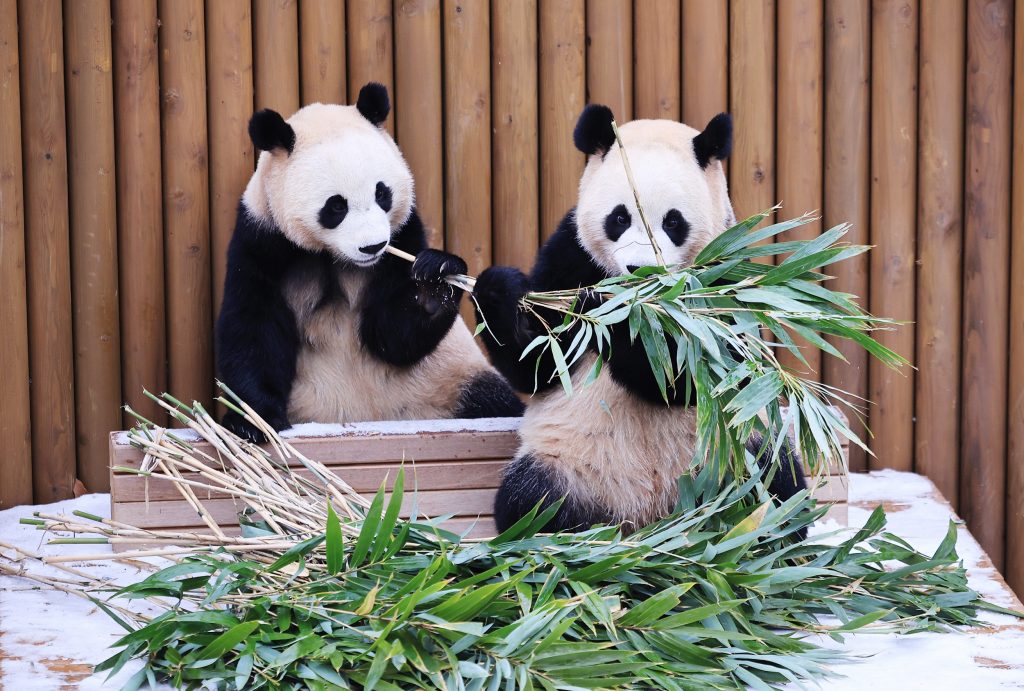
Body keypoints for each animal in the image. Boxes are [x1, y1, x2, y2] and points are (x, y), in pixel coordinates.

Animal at [216, 82, 523, 442]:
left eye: (382, 193)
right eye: (336, 206)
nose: (374, 246)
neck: (332, 258)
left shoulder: (404, 234)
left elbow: (392, 336)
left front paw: (434, 283)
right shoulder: (263, 240)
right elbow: (254, 327)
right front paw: (251, 422)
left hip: (449, 382)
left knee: (494, 400)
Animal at [472, 104, 806, 533]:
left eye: (673, 222)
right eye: (619, 218)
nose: (638, 270)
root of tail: (650, 516)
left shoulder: (726, 274)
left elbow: (704, 372)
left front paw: (622, 323)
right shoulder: (569, 256)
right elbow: (540, 367)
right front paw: (501, 290)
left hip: (736, 451)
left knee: (780, 487)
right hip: (567, 464)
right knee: (529, 500)